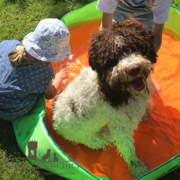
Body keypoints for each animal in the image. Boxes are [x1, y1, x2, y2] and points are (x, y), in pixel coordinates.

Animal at [52, 19, 158, 177]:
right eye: (112, 60)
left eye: (134, 47)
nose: (133, 69)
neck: (116, 88)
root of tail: (54, 120)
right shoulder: (120, 126)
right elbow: (127, 149)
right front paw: (137, 168)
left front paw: (146, 110)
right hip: (86, 135)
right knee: (95, 140)